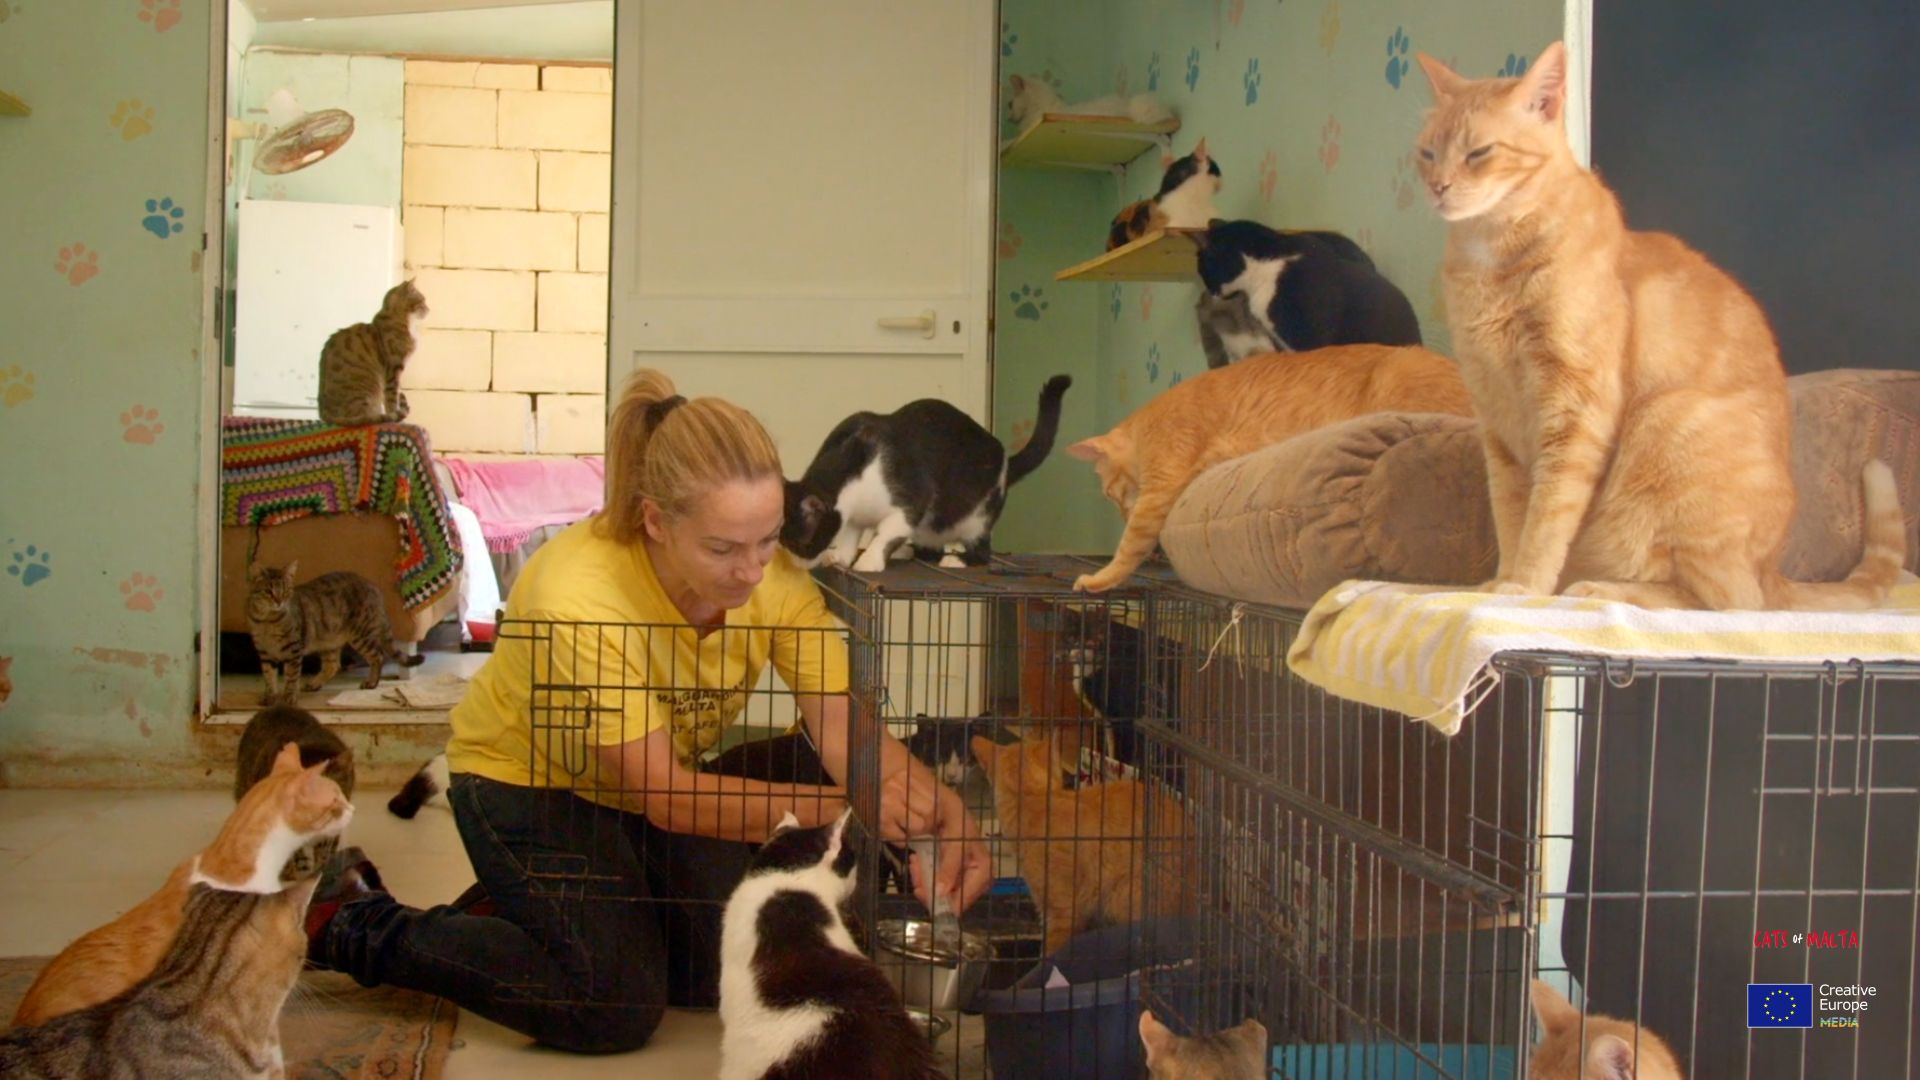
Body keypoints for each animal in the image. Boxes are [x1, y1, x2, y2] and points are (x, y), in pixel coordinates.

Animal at [246, 560, 423, 706]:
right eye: (268, 591)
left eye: (286, 591)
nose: (279, 601)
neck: (268, 621)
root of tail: (374, 587)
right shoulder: (265, 653)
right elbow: (269, 677)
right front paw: (270, 697)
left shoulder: (293, 650)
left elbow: (291, 676)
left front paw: (288, 697)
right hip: (329, 640)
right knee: (333, 666)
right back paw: (314, 684)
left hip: (361, 635)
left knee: (378, 656)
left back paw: (371, 683)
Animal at [316, 279, 428, 426]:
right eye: (422, 300)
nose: (429, 309)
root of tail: (325, 414)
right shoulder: (394, 368)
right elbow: (392, 398)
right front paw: (396, 418)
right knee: (366, 417)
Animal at [783, 375, 1071, 573]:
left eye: (800, 545)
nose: (796, 566)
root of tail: (1005, 461)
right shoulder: (855, 515)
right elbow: (851, 535)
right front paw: (841, 556)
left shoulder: (912, 499)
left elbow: (887, 532)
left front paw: (869, 560)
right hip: (931, 530)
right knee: (929, 551)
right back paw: (909, 552)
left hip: (977, 518)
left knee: (982, 552)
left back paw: (956, 559)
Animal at [1414, 43, 1903, 610]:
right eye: (1427, 154)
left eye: (1479, 153)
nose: (1438, 187)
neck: (1488, 255)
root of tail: (1773, 569)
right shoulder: (1498, 425)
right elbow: (1513, 517)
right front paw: (1499, 583)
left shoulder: (1577, 410)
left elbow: (1546, 519)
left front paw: (1526, 587)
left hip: (1667, 423)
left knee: (1726, 602)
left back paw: (1600, 588)